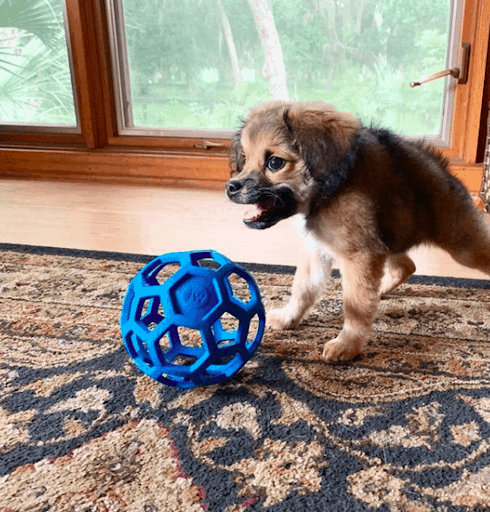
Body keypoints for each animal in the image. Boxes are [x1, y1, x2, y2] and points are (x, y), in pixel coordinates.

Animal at [225, 101, 490, 364]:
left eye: (274, 163)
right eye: (245, 158)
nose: (230, 187)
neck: (324, 195)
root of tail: (441, 169)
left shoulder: (359, 255)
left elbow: (354, 304)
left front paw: (347, 343)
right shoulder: (318, 251)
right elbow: (303, 289)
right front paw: (289, 317)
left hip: (462, 245)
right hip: (390, 236)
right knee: (405, 266)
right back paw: (380, 290)